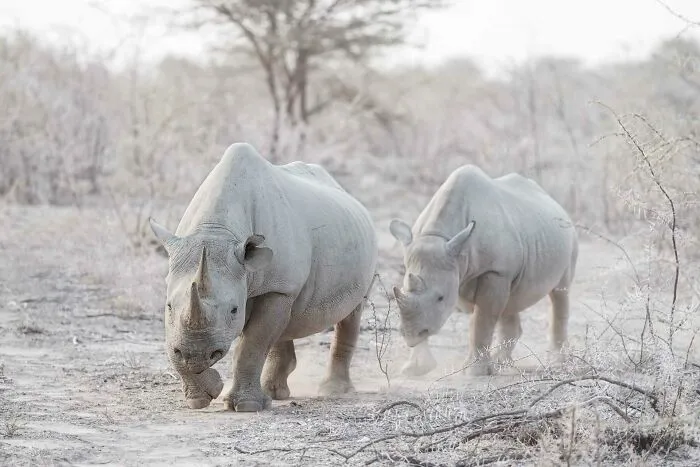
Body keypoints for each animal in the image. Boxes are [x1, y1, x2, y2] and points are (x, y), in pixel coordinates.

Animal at [149, 143, 378, 412]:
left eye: (234, 310)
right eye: (168, 306)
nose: (198, 355)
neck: (214, 231)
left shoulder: (278, 288)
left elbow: (254, 342)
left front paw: (246, 405)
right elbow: (174, 345)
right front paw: (202, 395)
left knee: (352, 313)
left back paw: (333, 390)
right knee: (286, 321)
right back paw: (275, 392)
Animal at [389, 165, 578, 377]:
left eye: (441, 298)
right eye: (401, 291)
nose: (409, 334)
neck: (439, 236)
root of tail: (556, 203)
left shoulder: (496, 271)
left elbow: (483, 320)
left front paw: (474, 372)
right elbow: (426, 316)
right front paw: (415, 368)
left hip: (569, 236)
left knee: (559, 293)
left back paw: (556, 362)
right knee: (511, 301)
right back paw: (501, 363)